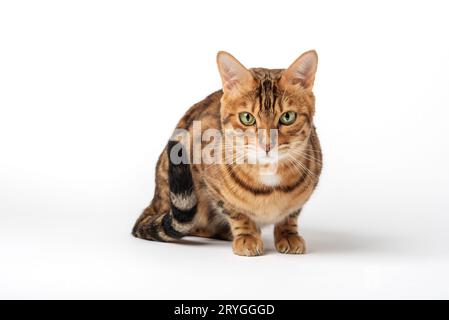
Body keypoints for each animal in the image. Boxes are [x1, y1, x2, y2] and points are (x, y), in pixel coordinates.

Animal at [130, 50, 322, 256]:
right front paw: (247, 235)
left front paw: (288, 234)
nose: (267, 145)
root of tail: (155, 201)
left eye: (288, 117)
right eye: (247, 118)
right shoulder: (209, 181)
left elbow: (291, 214)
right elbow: (236, 212)